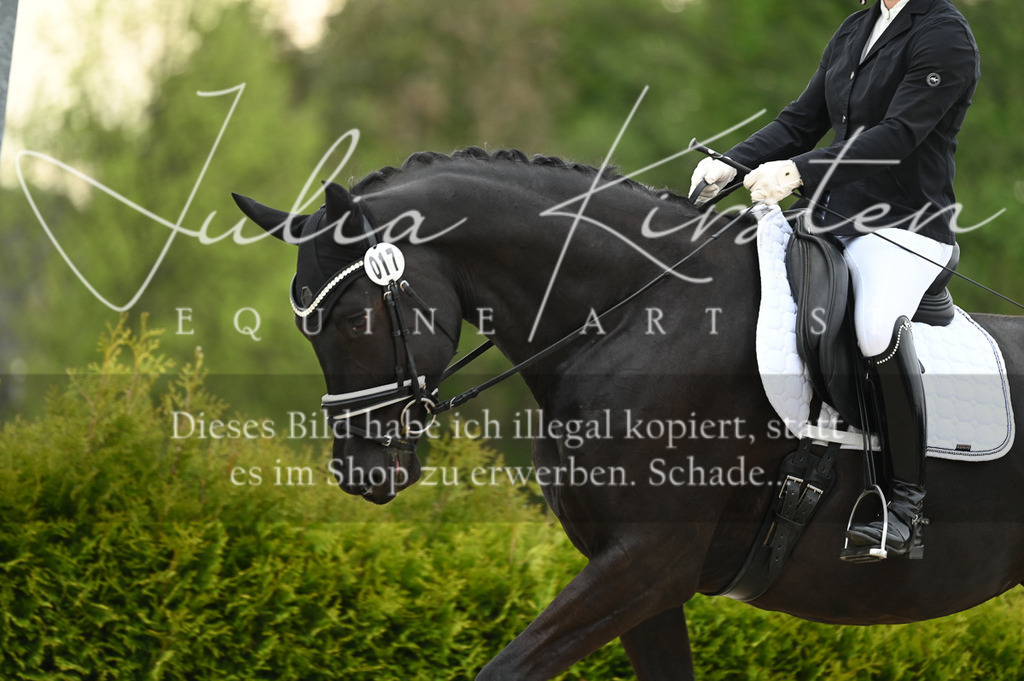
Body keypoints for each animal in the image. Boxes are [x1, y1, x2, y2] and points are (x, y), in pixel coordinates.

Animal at [233, 147, 1024, 680]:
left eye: (355, 317)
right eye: (306, 325)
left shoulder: (649, 562)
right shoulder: (636, 578)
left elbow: (504, 668)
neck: (634, 318)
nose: (363, 472)